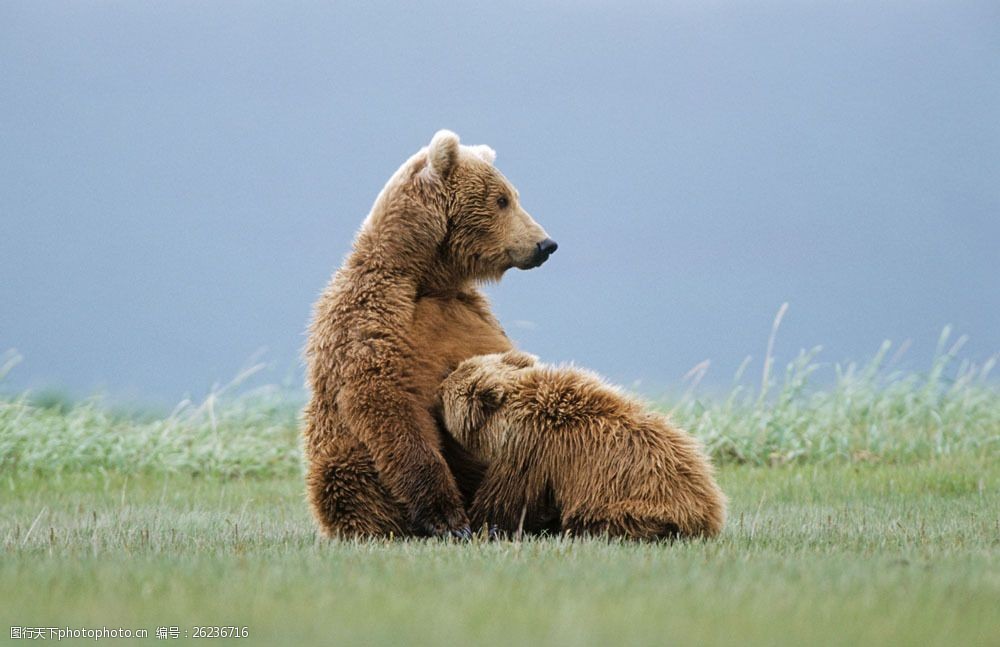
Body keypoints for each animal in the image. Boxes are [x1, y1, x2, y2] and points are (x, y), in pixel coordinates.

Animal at [300, 130, 560, 536]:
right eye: (502, 199)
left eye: (513, 195)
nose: (545, 244)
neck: (427, 279)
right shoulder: (373, 319)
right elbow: (386, 401)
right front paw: (449, 519)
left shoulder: (470, 313)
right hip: (342, 458)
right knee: (349, 478)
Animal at [442, 352, 724, 540]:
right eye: (460, 367)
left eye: (449, 389)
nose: (442, 381)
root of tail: (711, 508)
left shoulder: (530, 451)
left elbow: (506, 497)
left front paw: (480, 524)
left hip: (641, 504)